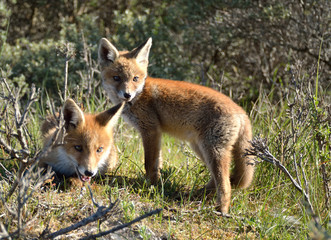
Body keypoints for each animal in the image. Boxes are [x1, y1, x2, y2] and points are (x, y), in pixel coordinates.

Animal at [97, 37, 255, 214]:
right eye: (116, 78)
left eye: (135, 79)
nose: (127, 95)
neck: (140, 94)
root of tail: (241, 111)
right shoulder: (156, 133)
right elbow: (157, 163)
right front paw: (156, 184)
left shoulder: (150, 130)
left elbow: (149, 163)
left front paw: (148, 184)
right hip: (201, 148)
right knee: (218, 180)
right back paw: (197, 195)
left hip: (213, 151)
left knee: (226, 184)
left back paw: (221, 210)